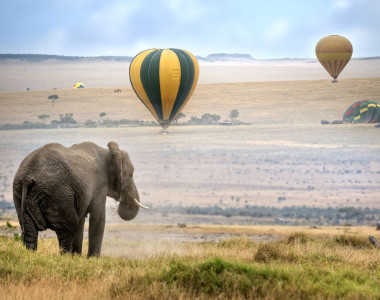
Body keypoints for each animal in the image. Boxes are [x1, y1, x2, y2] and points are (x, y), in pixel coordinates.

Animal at [12, 142, 148, 256]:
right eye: (130, 175)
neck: (108, 152)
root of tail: (27, 177)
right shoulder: (99, 184)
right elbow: (98, 218)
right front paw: (92, 260)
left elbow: (81, 220)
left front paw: (77, 257)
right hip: (57, 194)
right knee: (68, 227)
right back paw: (65, 258)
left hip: (20, 194)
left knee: (30, 230)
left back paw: (31, 255)